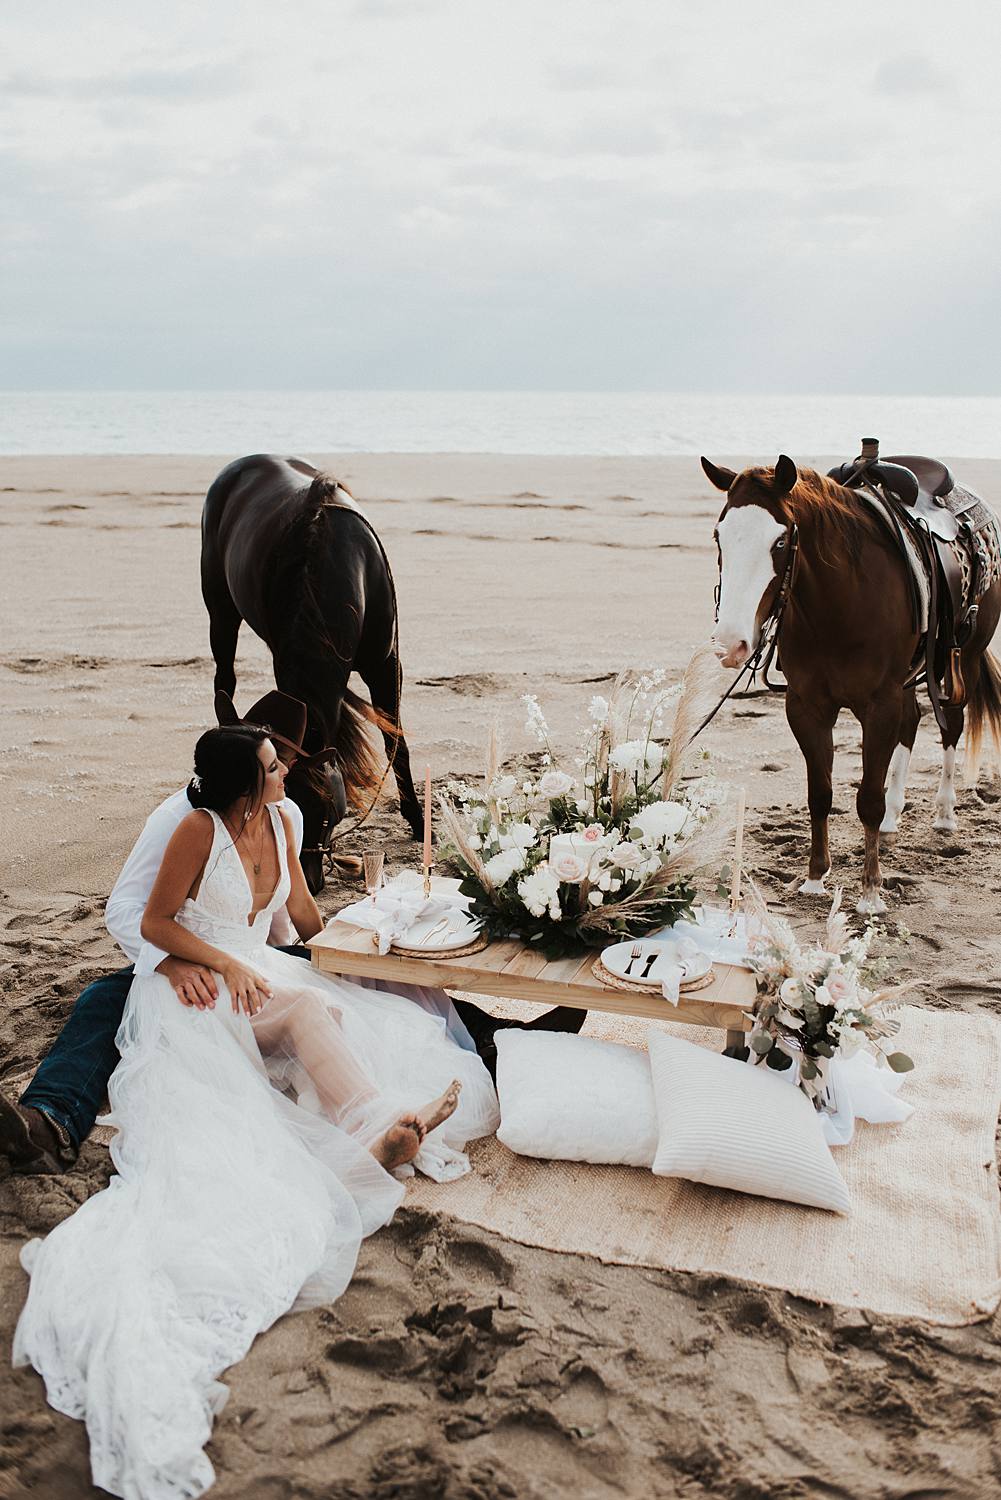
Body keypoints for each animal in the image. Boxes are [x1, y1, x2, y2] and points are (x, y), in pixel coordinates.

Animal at [204, 456, 423, 888]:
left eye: (324, 813)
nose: (305, 878)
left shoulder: (385, 663)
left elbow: (395, 739)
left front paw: (420, 821)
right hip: (219, 612)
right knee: (225, 677)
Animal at [702, 450, 1001, 906]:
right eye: (720, 536)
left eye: (780, 542)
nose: (730, 643)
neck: (839, 604)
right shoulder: (807, 707)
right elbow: (820, 794)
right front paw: (814, 877)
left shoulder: (878, 706)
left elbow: (867, 799)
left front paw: (871, 891)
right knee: (912, 723)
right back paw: (896, 814)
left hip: (960, 660)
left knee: (951, 724)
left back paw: (945, 812)